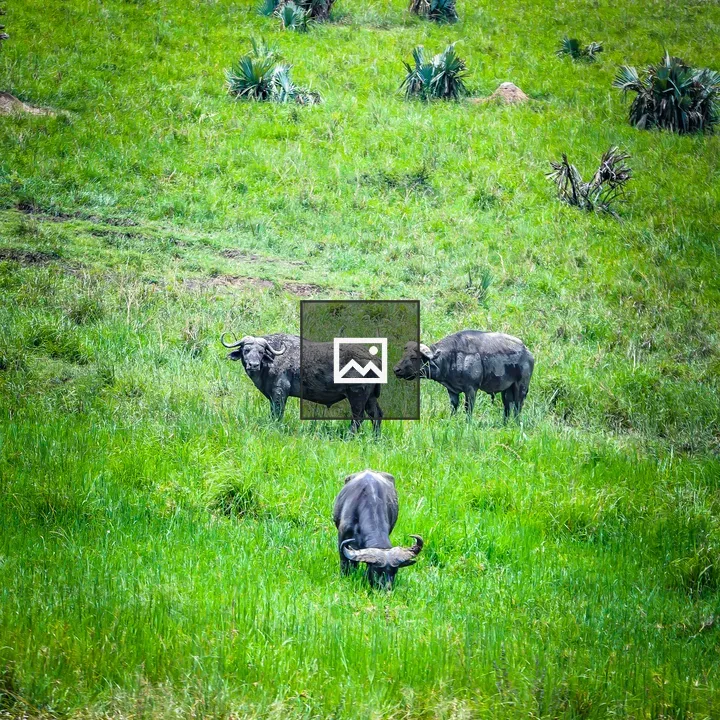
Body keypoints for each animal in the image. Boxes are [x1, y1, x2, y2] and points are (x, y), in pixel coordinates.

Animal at [221, 332, 383, 433]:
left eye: (261, 352)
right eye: (246, 350)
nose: (253, 365)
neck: (272, 360)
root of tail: (374, 358)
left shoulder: (279, 392)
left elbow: (277, 414)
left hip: (357, 395)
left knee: (359, 418)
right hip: (370, 397)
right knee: (376, 415)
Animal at [393, 329, 534, 419]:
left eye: (413, 357)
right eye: (404, 355)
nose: (396, 369)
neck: (451, 358)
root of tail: (527, 352)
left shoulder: (471, 389)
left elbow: (468, 409)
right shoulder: (452, 391)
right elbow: (453, 407)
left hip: (521, 386)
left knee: (518, 406)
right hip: (506, 390)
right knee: (507, 406)